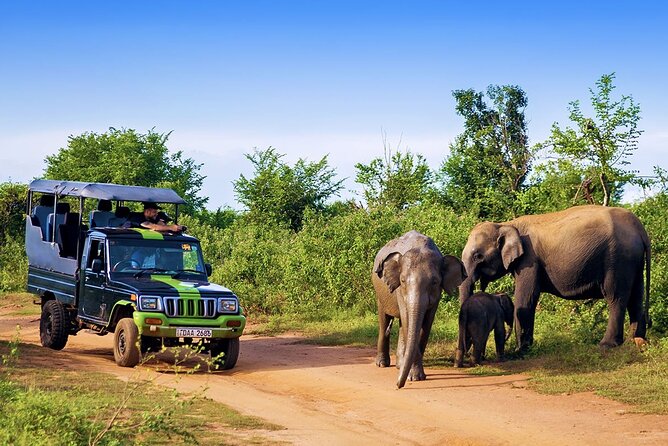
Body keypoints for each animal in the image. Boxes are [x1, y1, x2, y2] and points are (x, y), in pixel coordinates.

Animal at [374, 232, 468, 388]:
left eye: (435, 282)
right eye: (403, 281)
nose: (398, 385)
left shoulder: (436, 296)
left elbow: (426, 324)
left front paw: (415, 376)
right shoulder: (399, 291)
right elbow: (407, 319)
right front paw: (414, 377)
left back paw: (399, 365)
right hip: (380, 294)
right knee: (384, 321)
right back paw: (382, 364)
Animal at [456, 205, 648, 352]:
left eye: (478, 256)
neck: (506, 224)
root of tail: (639, 228)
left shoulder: (529, 260)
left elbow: (526, 297)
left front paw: (520, 351)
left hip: (618, 259)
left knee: (616, 297)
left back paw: (606, 345)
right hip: (634, 261)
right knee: (636, 296)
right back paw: (636, 340)